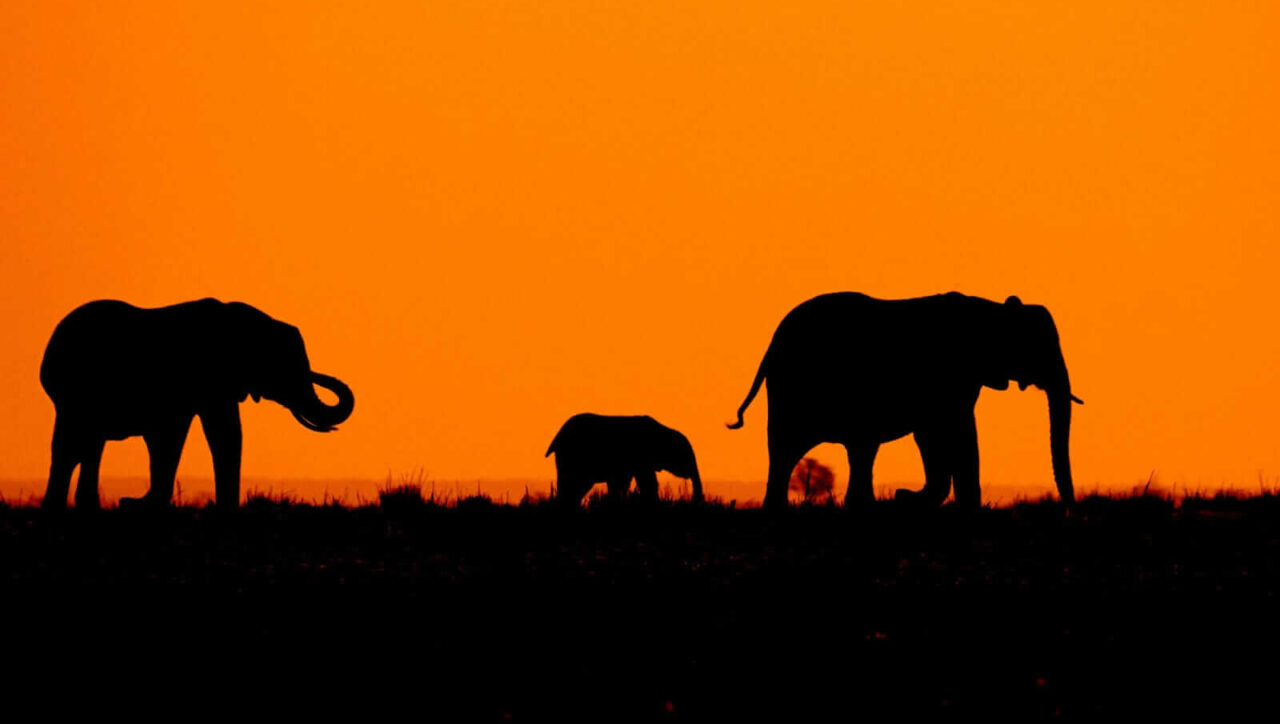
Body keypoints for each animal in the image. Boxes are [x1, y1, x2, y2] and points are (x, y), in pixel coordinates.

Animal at [40, 298, 355, 510]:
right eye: (285, 366)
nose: (318, 374)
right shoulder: (201, 377)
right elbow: (184, 436)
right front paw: (139, 504)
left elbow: (219, 433)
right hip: (72, 394)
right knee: (71, 446)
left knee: (88, 446)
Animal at [545, 413, 705, 505]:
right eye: (684, 455)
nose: (696, 500)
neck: (662, 430)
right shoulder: (640, 455)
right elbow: (646, 481)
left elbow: (624, 482)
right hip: (573, 457)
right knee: (572, 484)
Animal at [727, 292, 1082, 510]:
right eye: (1037, 346)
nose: (1069, 510)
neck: (992, 310)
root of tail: (771, 345)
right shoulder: (950, 375)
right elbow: (956, 432)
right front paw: (912, 499)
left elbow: (933, 436)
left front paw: (908, 498)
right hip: (792, 389)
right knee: (791, 448)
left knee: (852, 450)